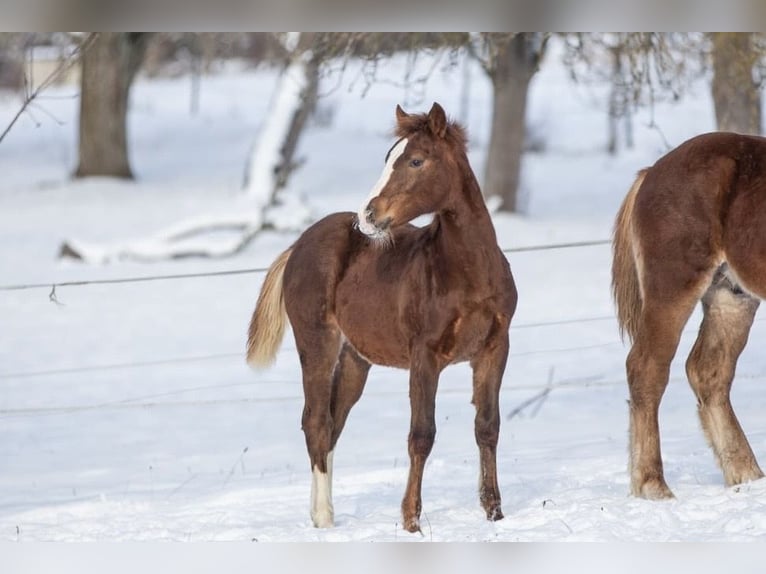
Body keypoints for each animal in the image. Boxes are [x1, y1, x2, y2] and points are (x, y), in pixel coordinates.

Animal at [249, 102, 520, 532]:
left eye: (415, 160)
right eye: (389, 157)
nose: (368, 216)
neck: (469, 273)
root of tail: (297, 245)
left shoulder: (495, 349)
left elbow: (487, 427)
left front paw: (494, 512)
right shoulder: (424, 356)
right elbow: (421, 434)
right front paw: (411, 521)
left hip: (355, 359)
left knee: (333, 423)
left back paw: (322, 511)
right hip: (316, 344)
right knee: (316, 422)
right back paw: (323, 518)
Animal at [616, 130, 766, 500]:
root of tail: (650, 173)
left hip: (731, 297)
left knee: (708, 372)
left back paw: (747, 475)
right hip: (673, 289)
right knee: (646, 370)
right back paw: (653, 485)